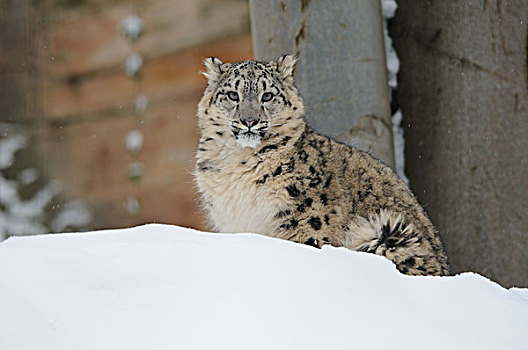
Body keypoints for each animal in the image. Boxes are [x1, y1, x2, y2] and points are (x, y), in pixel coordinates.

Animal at [194, 54, 450, 276]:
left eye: (267, 96)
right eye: (232, 95)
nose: (249, 121)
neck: (238, 165)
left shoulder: (305, 220)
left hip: (389, 233)